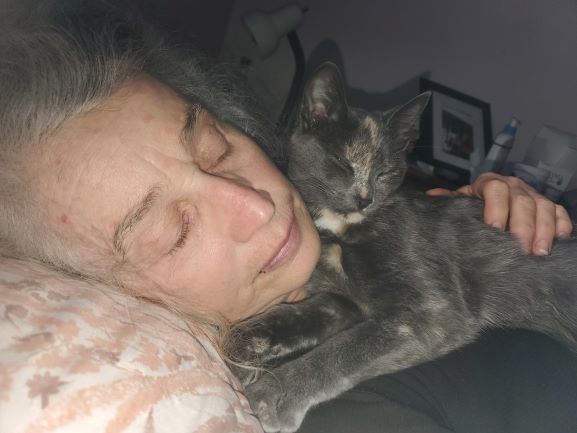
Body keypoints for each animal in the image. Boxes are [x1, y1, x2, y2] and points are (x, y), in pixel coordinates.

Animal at [226, 63, 577, 433]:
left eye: (385, 172)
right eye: (341, 162)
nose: (364, 198)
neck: (341, 231)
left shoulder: (432, 313)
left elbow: (342, 351)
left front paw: (273, 395)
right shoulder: (342, 302)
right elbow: (293, 315)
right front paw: (238, 344)